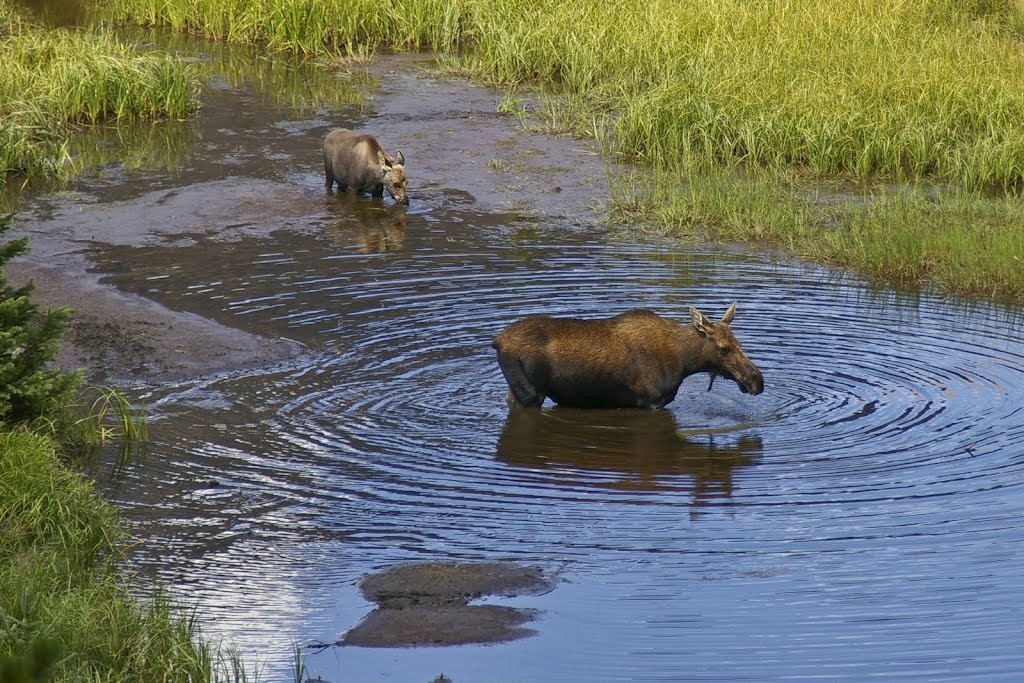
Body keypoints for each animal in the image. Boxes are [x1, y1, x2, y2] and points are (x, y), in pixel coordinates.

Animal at [491, 301, 765, 409]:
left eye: (739, 343)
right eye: (724, 348)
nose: (757, 381)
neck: (684, 362)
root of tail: (496, 341)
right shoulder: (651, 401)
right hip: (529, 394)